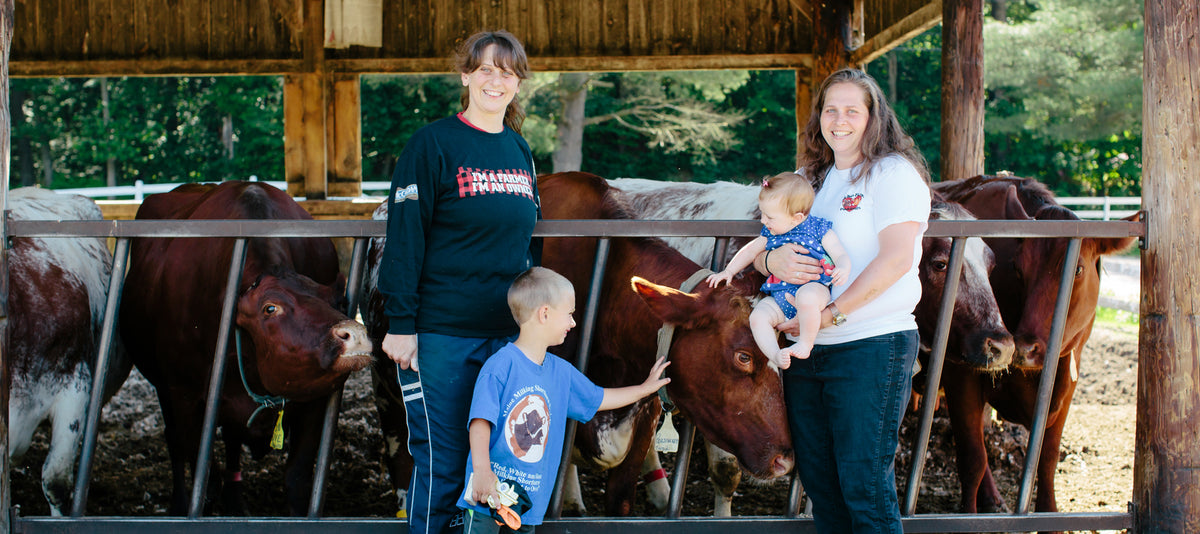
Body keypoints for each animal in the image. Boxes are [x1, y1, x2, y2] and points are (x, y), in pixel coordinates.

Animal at [364, 170, 796, 516]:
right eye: (743, 356)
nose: (786, 458)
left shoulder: (642, 419)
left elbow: (619, 499)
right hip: (386, 382)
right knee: (400, 451)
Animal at [931, 172, 1137, 525]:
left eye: (1077, 269)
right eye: (1018, 269)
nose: (1025, 348)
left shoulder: (1067, 381)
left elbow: (1047, 459)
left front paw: (1050, 515)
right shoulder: (961, 374)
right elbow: (971, 457)